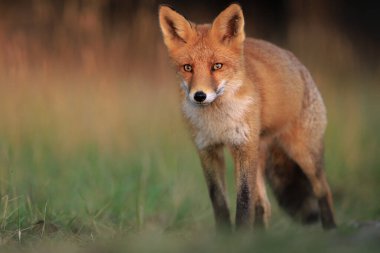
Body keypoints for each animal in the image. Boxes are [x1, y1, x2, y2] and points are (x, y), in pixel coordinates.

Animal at [157, 3, 336, 230]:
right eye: (188, 68)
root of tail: (296, 61)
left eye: (217, 66)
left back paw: (331, 228)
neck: (218, 122)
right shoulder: (207, 149)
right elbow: (219, 201)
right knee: (264, 205)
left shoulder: (243, 147)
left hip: (304, 153)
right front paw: (225, 235)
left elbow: (243, 201)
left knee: (323, 190)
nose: (199, 96)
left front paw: (240, 234)